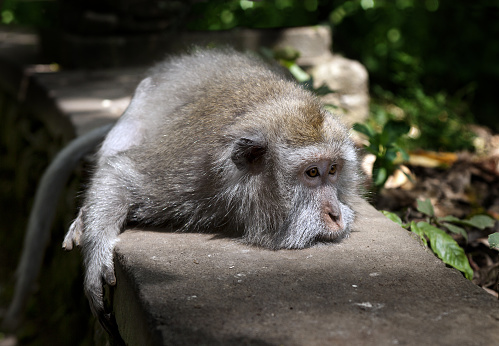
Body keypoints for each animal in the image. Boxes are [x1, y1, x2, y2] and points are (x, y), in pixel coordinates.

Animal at [6, 47, 364, 340]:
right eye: (312, 173)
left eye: (334, 170)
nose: (335, 214)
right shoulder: (189, 173)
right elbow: (122, 173)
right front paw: (96, 260)